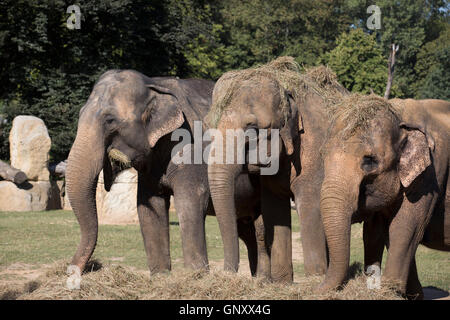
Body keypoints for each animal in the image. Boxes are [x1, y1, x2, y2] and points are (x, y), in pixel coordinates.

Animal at [65, 69, 266, 276]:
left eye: (109, 120)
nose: (72, 271)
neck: (154, 84)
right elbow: (149, 206)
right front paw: (161, 276)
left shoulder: (191, 148)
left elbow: (190, 202)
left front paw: (195, 276)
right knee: (247, 231)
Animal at [205, 56, 348, 282]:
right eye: (207, 125)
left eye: (252, 128)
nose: (226, 274)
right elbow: (274, 210)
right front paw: (281, 284)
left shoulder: (315, 150)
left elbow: (311, 207)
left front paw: (314, 280)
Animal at [318, 94, 448, 298]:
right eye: (323, 155)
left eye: (370, 161)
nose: (316, 289)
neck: (399, 114)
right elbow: (374, 231)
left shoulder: (433, 172)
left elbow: (406, 227)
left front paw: (390, 291)